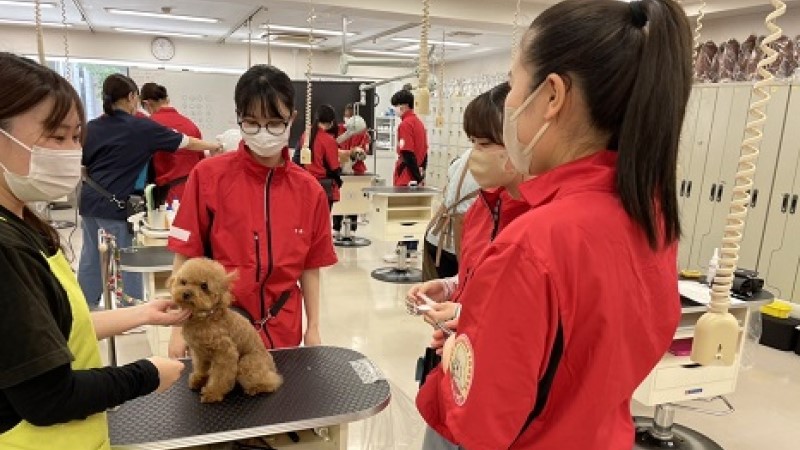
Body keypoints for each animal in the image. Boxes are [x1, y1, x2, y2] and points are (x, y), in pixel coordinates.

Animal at [169, 258, 283, 403]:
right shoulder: (199, 352)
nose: (186, 293)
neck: (203, 318)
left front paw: (213, 392)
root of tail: (271, 365)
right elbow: (201, 367)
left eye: (204, 286)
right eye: (183, 282)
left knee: (272, 381)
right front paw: (199, 379)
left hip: (247, 363)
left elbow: (220, 376)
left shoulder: (225, 353)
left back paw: (256, 387)